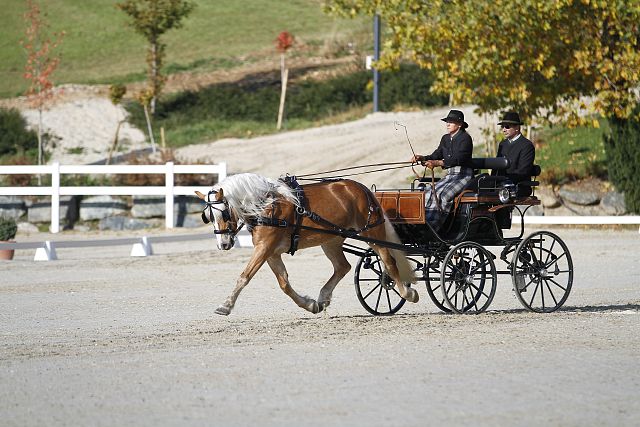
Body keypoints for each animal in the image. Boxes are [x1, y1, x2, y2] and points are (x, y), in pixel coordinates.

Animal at [198, 172, 422, 316]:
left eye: (224, 213)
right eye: (208, 216)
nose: (223, 244)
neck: (266, 205)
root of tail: (364, 189)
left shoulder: (264, 248)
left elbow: (244, 276)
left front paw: (226, 306)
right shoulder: (271, 253)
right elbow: (284, 283)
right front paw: (310, 305)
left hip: (371, 232)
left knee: (389, 261)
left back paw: (407, 292)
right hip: (331, 240)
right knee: (343, 267)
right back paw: (323, 297)